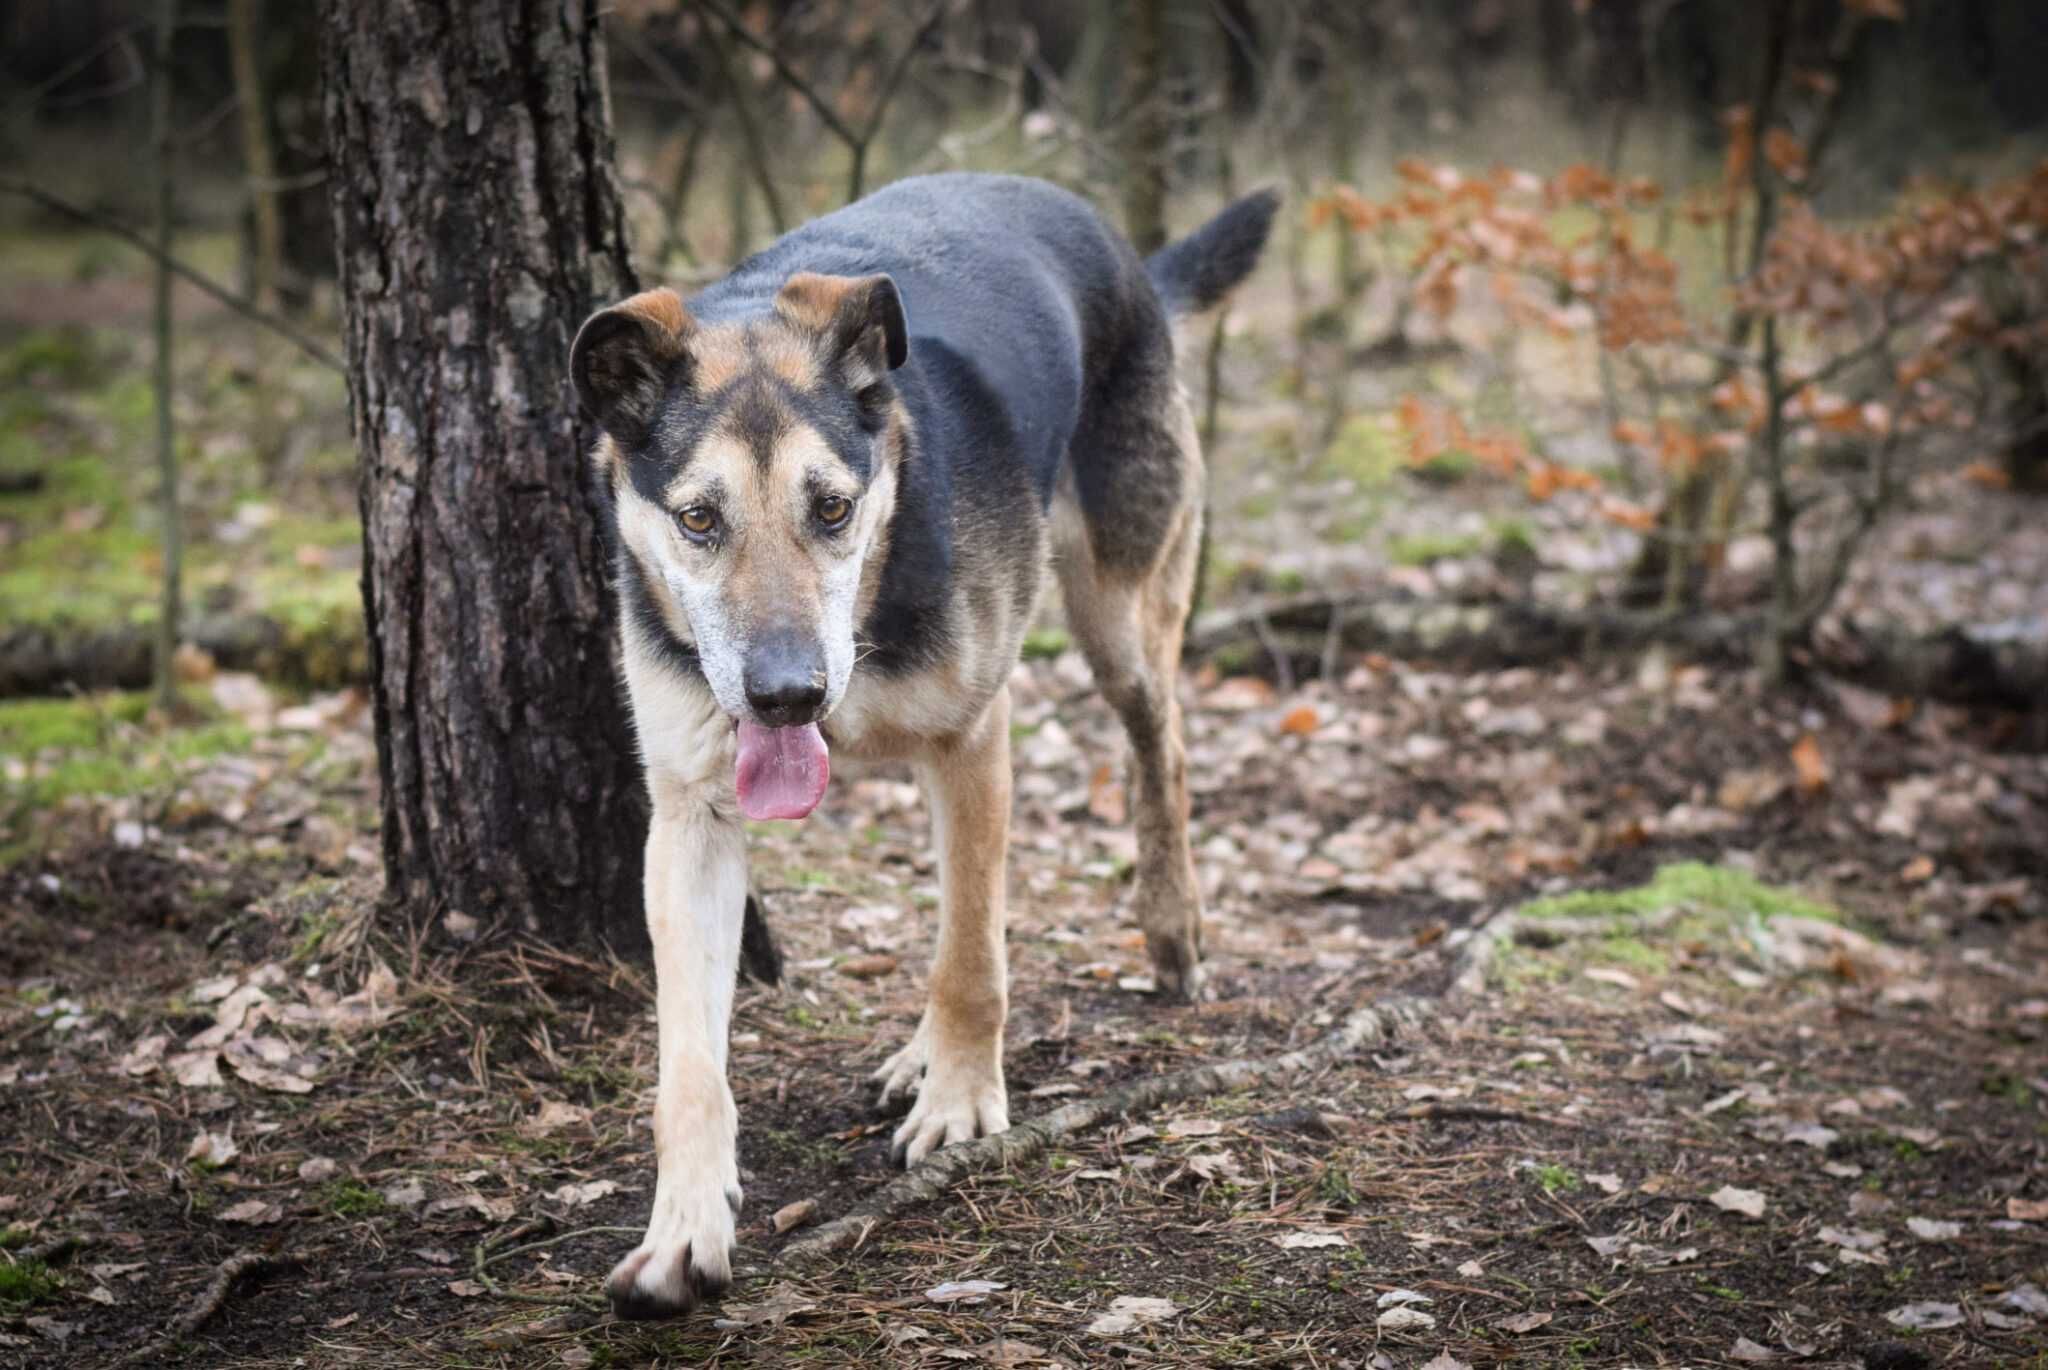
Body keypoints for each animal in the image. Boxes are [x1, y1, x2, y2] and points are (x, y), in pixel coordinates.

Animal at [569, 170, 1269, 1310]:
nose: (786, 696)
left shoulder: (973, 740)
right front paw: (683, 1224)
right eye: (698, 519)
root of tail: (1127, 257)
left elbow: (970, 954)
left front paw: (960, 1103)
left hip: (1117, 615)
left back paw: (1169, 928)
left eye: (832, 508)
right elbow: (689, 1066)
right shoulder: (691, 817)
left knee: (1157, 747)